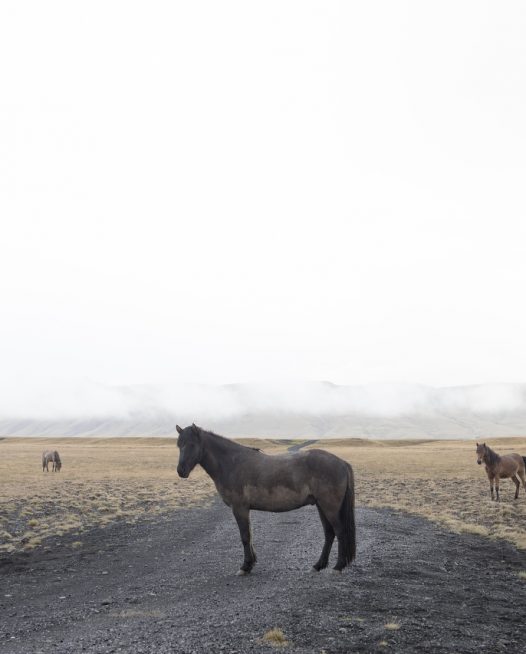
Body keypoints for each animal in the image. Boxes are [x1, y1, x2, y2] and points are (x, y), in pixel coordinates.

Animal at [175, 426, 356, 576]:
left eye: (191, 444)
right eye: (179, 445)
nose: (181, 471)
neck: (232, 463)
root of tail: (341, 463)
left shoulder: (239, 508)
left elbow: (245, 536)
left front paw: (245, 567)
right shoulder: (244, 509)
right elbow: (249, 536)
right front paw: (250, 564)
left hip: (329, 507)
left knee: (340, 532)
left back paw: (338, 567)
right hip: (321, 506)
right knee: (329, 533)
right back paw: (318, 566)